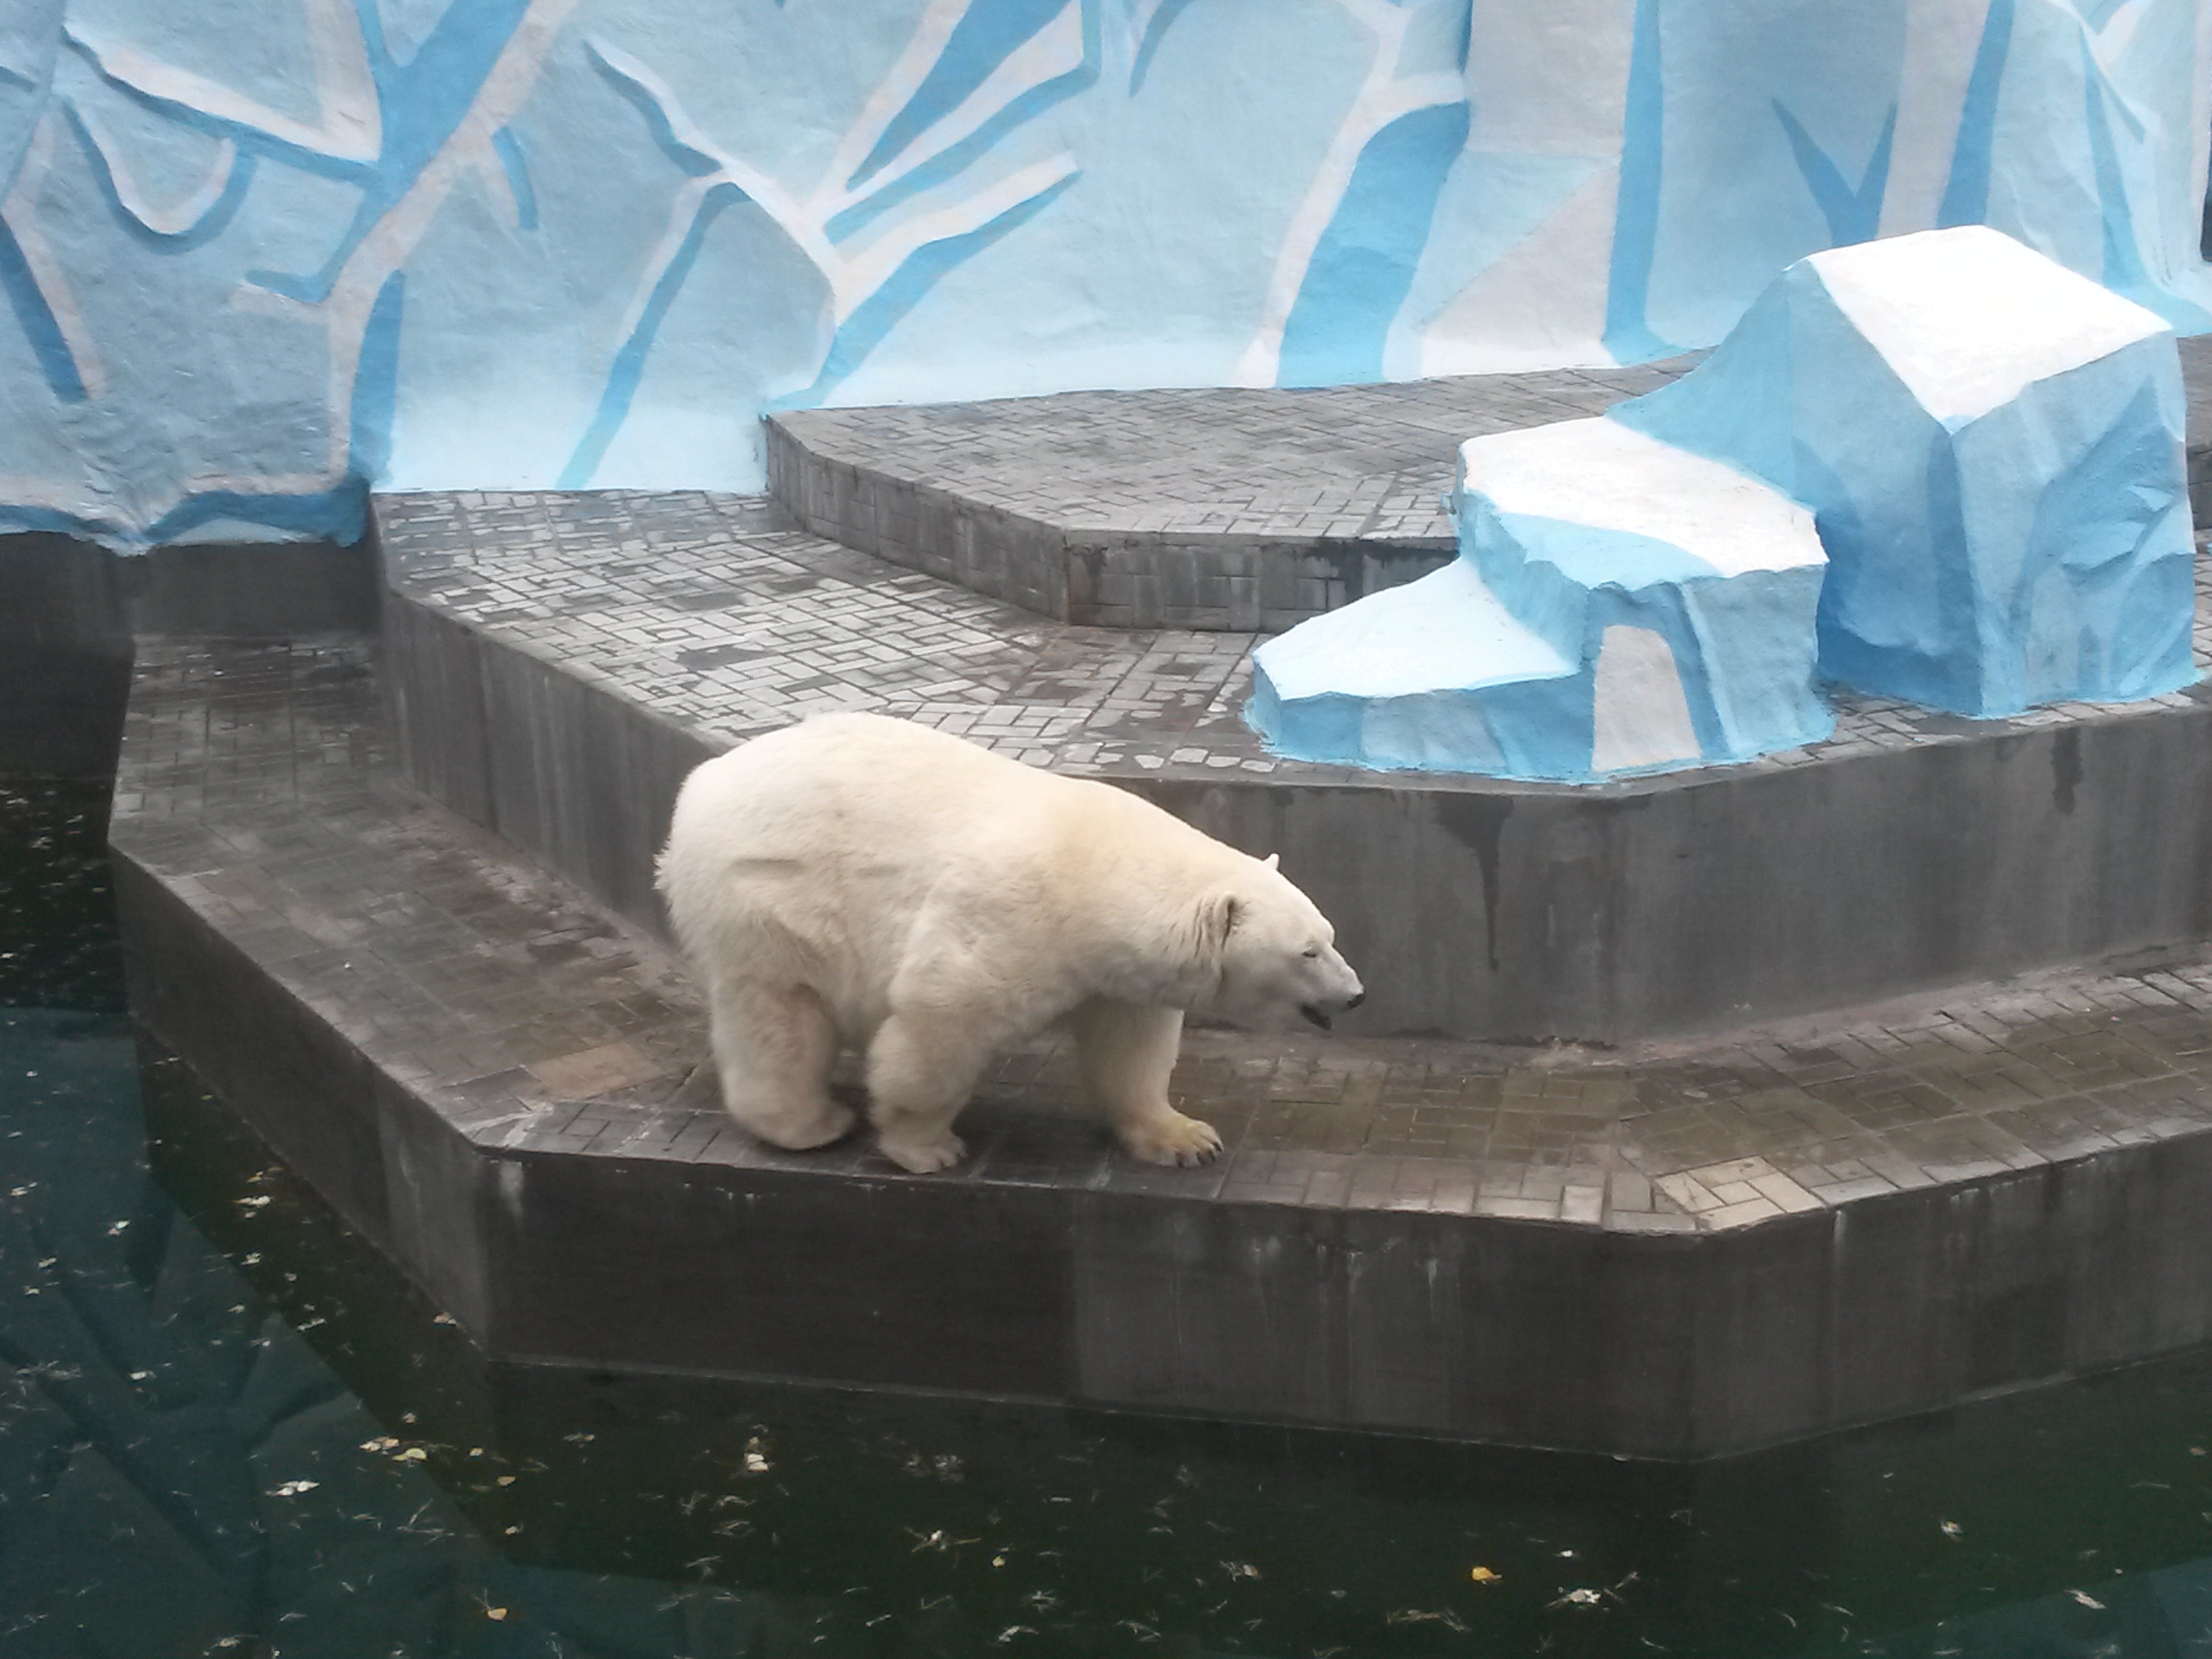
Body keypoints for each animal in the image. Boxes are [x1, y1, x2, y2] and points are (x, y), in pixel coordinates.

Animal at [646, 721, 1353, 1176]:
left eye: (1330, 935)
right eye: (1307, 952)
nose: (1355, 995)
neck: (1094, 872)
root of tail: (700, 784)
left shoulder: (1118, 976)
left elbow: (1132, 1049)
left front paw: (1185, 1137)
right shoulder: (1014, 919)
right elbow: (939, 1023)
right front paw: (927, 1147)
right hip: (771, 896)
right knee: (780, 1015)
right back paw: (810, 1123)